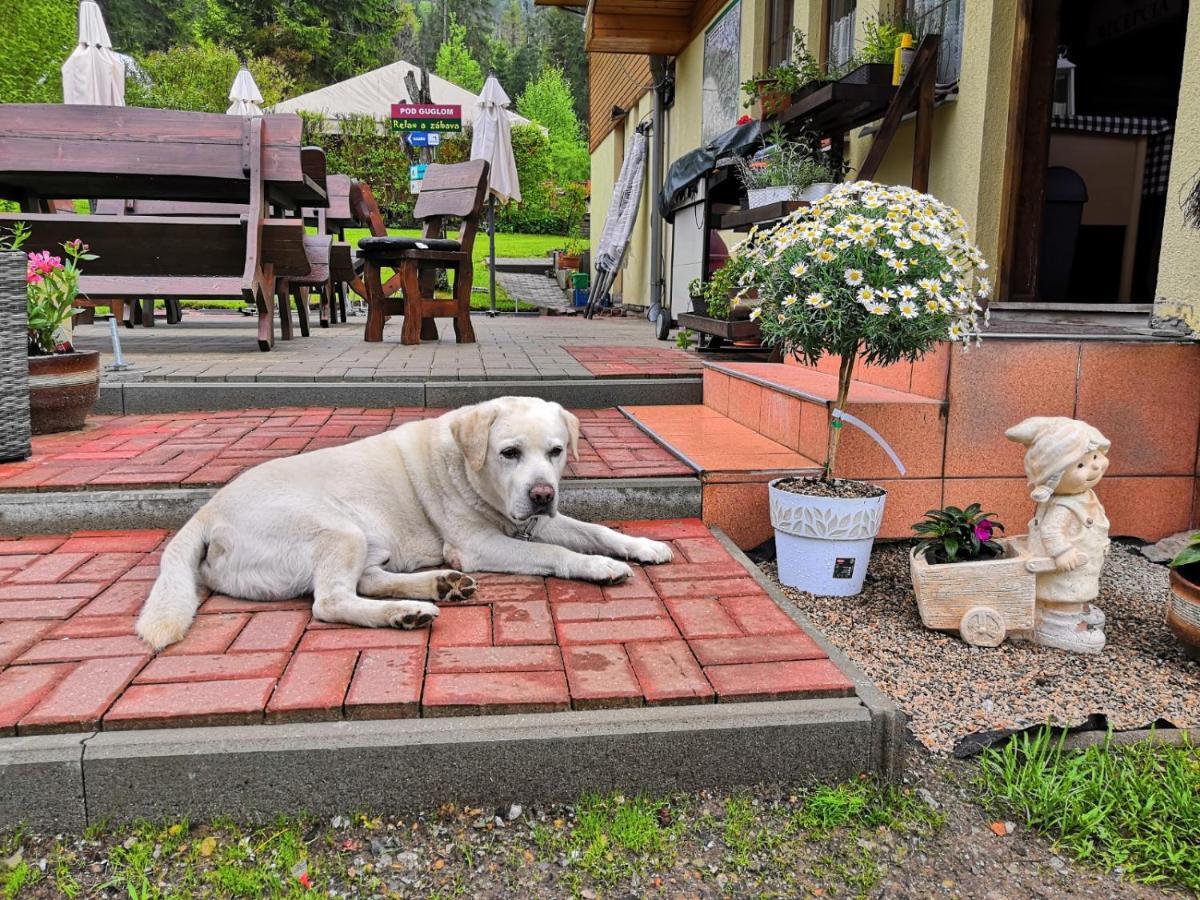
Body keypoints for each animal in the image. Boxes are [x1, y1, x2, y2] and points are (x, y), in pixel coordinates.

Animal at [136, 396, 676, 648]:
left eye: (557, 451)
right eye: (510, 453)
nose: (543, 494)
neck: (468, 468)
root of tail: (206, 511)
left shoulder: (536, 522)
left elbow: (595, 531)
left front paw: (642, 545)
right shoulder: (480, 544)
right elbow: (558, 552)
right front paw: (599, 567)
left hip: (364, 540)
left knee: (367, 581)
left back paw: (438, 588)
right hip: (339, 529)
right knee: (330, 602)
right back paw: (408, 612)